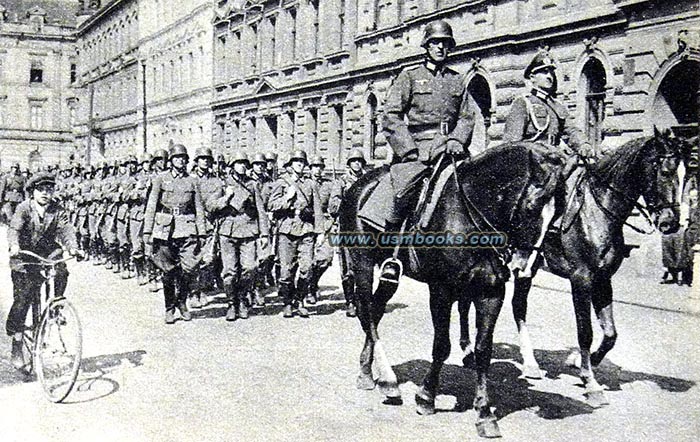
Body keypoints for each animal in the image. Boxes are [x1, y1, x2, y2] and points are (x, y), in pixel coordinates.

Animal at [338, 142, 568, 438]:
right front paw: (426, 397)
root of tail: (357, 186)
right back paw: (388, 379)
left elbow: (483, 350)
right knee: (367, 312)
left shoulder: (491, 293)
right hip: (363, 263)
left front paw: (484, 413)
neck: (470, 213)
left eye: (558, 213)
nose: (525, 266)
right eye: (530, 207)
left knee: (375, 311)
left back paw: (368, 371)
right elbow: (441, 346)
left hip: (389, 273)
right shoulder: (441, 290)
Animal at [460, 127, 684, 408]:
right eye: (665, 172)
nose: (672, 223)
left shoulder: (603, 279)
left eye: (686, 174)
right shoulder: (581, 279)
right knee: (470, 302)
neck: (597, 211)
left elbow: (610, 333)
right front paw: (590, 383)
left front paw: (580, 361)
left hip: (527, 268)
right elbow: (585, 331)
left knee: (517, 306)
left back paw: (530, 364)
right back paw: (469, 351)